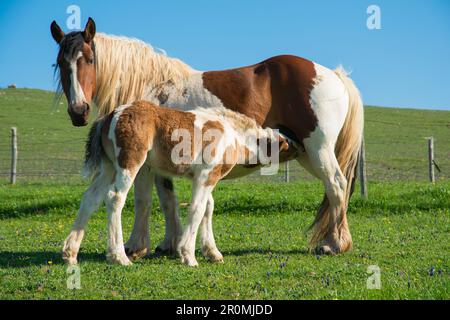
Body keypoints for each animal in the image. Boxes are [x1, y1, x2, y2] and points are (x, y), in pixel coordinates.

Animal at [51, 17, 364, 258]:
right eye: (60, 64)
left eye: (89, 59)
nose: (78, 112)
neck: (151, 85)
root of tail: (333, 74)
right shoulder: (161, 164)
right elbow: (168, 200)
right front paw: (170, 243)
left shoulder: (145, 165)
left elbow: (144, 200)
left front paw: (136, 247)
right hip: (307, 153)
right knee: (334, 189)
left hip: (318, 149)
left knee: (337, 186)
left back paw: (335, 244)